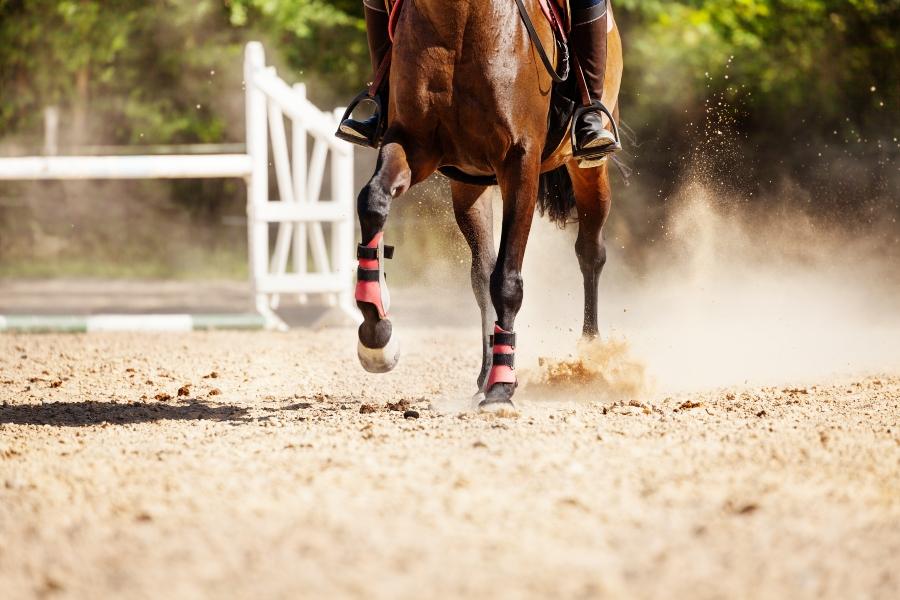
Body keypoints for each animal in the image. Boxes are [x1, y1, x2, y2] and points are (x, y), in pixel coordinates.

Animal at [356, 0, 624, 408]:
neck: (459, 20)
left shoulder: (520, 162)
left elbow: (508, 280)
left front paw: (502, 388)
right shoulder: (411, 145)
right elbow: (372, 202)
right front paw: (377, 336)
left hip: (587, 169)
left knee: (590, 252)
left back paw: (589, 357)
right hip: (468, 186)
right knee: (481, 273)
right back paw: (484, 373)